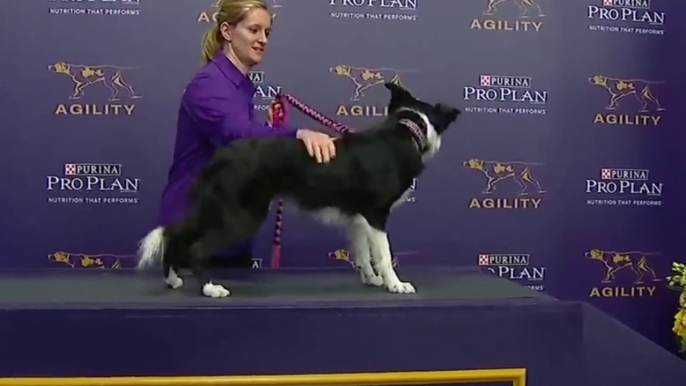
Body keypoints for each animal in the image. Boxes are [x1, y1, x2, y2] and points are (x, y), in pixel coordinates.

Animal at [137, 82, 462, 298]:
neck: (407, 130)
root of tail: (222, 155)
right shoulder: (376, 213)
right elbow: (383, 253)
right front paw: (395, 284)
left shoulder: (357, 215)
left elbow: (361, 251)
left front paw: (372, 280)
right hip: (241, 214)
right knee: (197, 248)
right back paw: (210, 288)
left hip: (220, 208)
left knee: (176, 235)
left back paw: (173, 280)